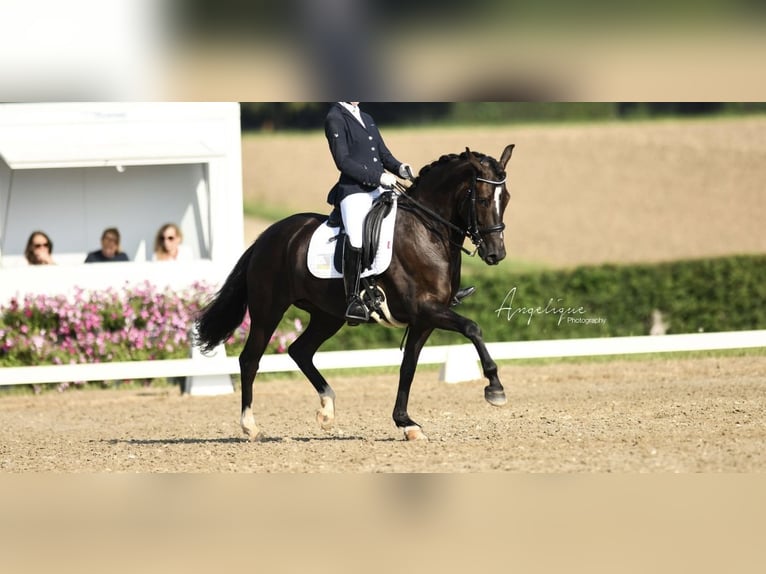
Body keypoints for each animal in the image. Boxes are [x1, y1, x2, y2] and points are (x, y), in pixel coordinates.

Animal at [195, 144, 516, 440]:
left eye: (507, 199)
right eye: (483, 199)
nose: (496, 254)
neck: (427, 231)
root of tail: (267, 237)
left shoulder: (424, 319)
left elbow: (408, 367)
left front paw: (406, 423)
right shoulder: (426, 309)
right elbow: (472, 328)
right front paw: (495, 388)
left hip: (327, 316)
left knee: (300, 351)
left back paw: (327, 409)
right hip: (268, 310)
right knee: (250, 359)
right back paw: (250, 426)